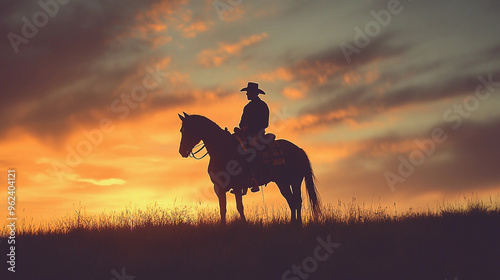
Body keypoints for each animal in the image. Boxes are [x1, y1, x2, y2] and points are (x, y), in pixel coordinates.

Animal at [179, 112, 320, 224]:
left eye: (189, 129)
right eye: (181, 130)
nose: (182, 151)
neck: (223, 150)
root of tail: (299, 149)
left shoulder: (237, 186)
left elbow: (239, 207)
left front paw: (244, 224)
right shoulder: (219, 187)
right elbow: (222, 208)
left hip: (295, 181)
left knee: (297, 201)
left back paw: (298, 223)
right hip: (283, 183)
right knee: (291, 201)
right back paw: (292, 223)